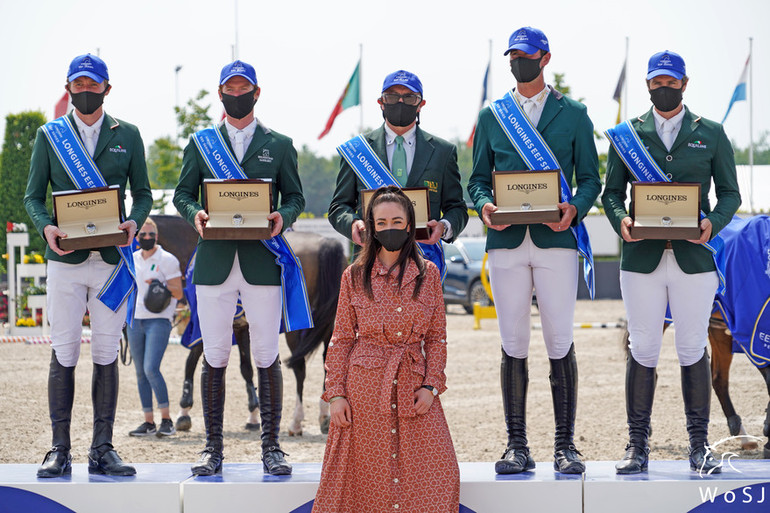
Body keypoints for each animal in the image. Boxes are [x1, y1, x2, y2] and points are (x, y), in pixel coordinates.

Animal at [149, 214, 342, 434]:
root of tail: (326, 243)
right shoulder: (240, 326)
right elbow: (246, 368)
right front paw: (253, 414)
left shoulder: (207, 325)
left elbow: (192, 360)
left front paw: (184, 411)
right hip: (329, 325)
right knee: (327, 362)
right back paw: (325, 416)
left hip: (297, 330)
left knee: (300, 368)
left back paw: (296, 421)